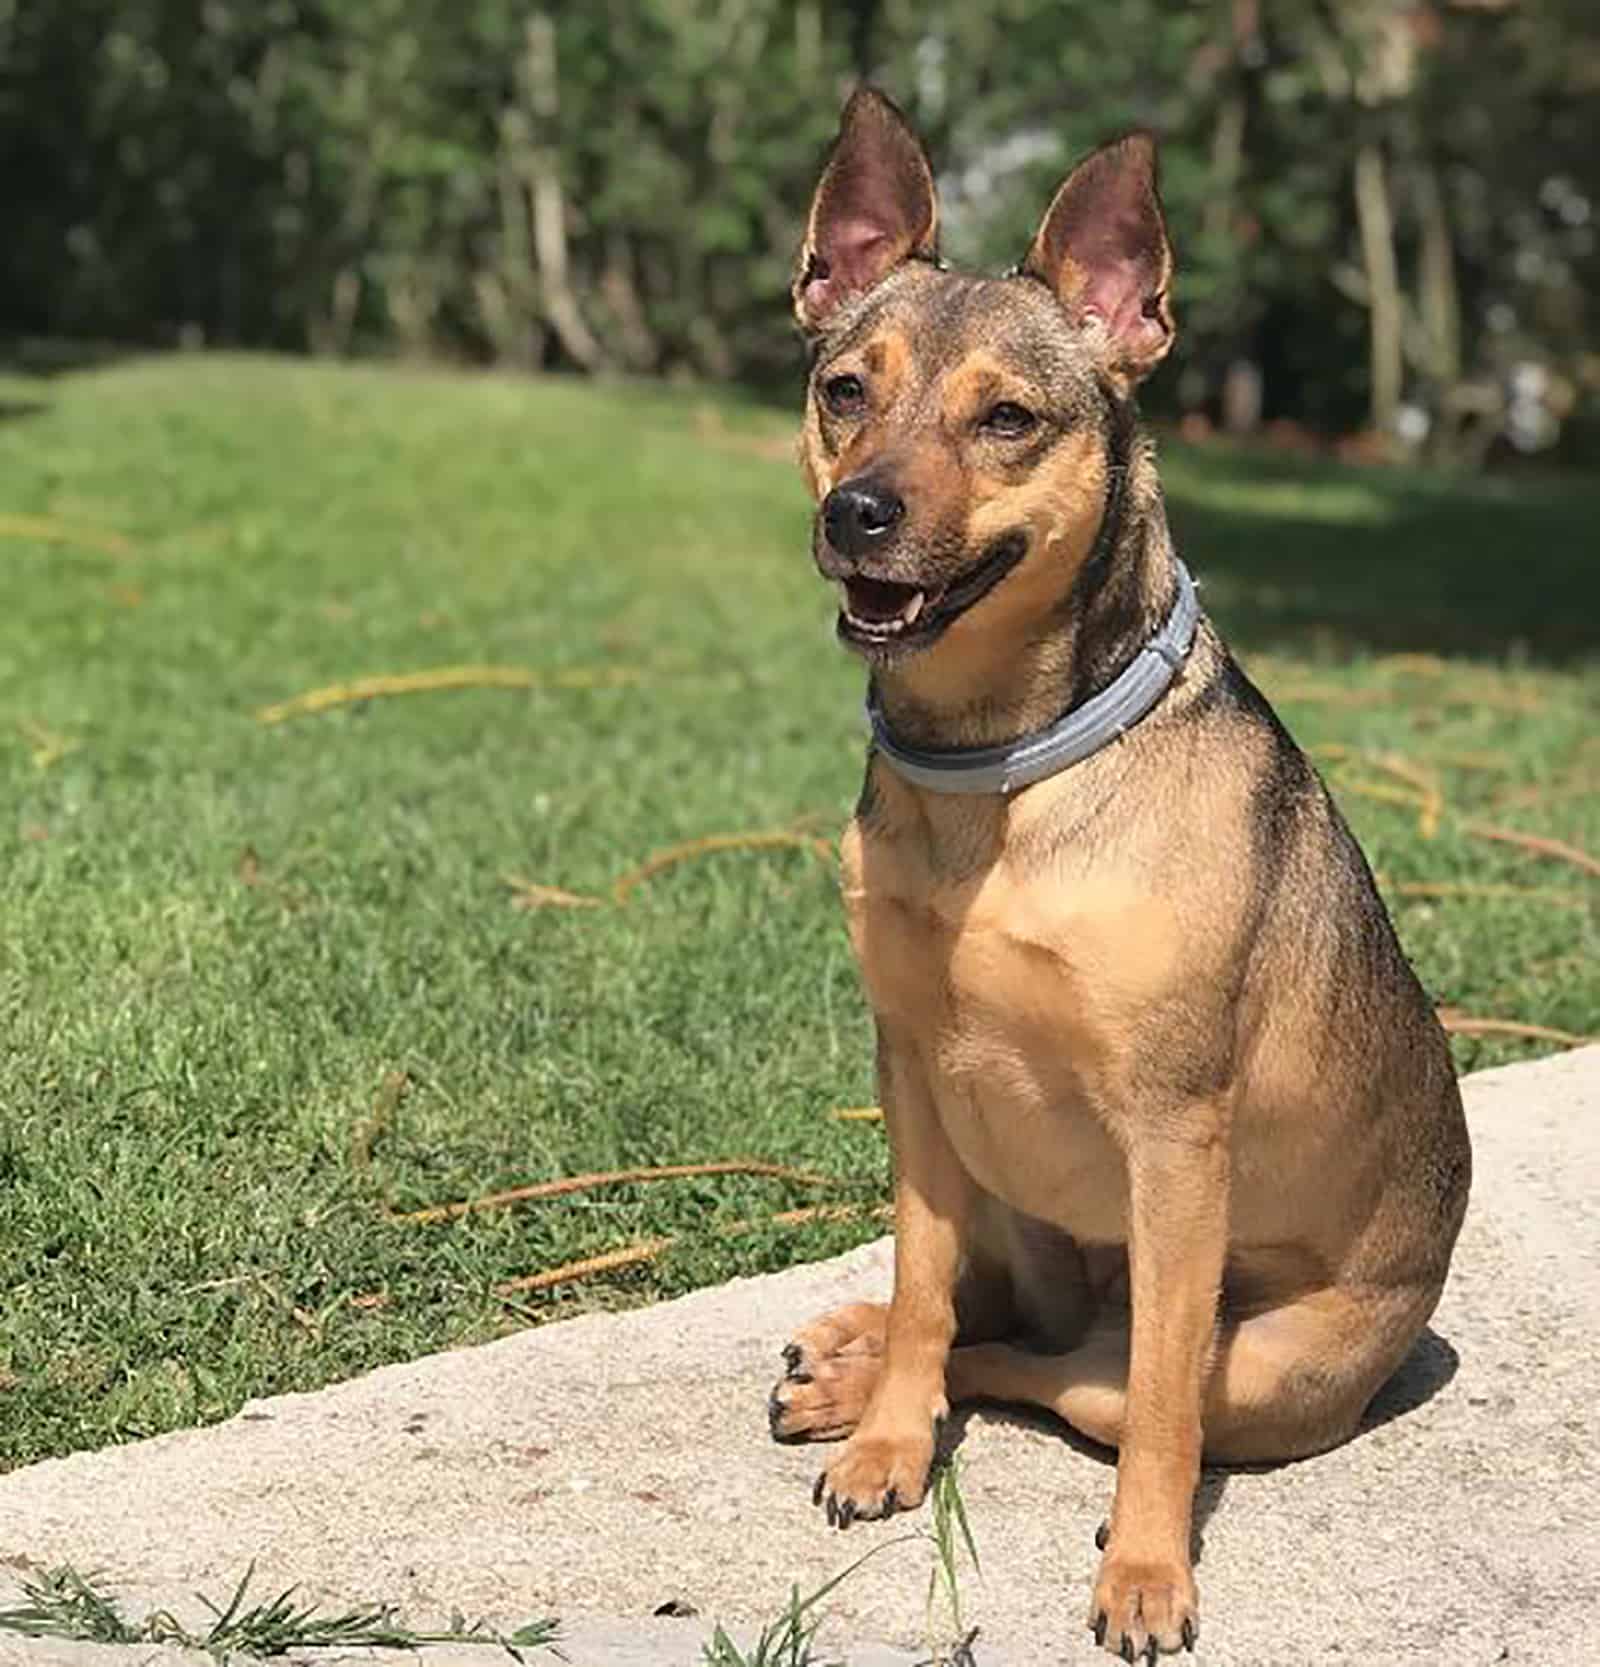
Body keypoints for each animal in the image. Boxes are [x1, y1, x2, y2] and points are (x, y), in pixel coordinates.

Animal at [770, 87, 1466, 1653]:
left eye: (1007, 419)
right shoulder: (911, 1073)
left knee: (1081, 1367)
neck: (1001, 775)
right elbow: (919, 1279)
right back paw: (853, 1357)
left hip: (1262, 1361)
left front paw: (1146, 1568)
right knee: (989, 1311)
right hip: (992, 1174)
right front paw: (889, 1438)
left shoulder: (1173, 1134)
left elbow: (1151, 1403)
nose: (858, 515)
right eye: (845, 390)